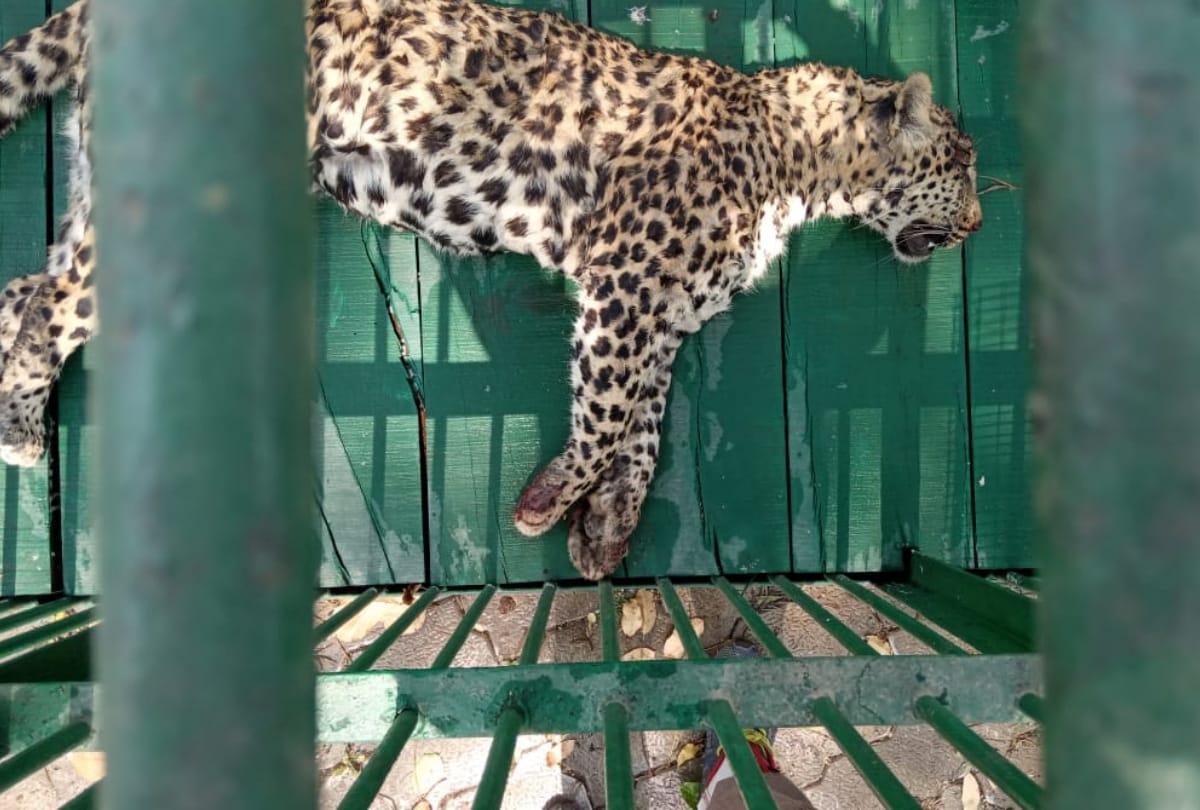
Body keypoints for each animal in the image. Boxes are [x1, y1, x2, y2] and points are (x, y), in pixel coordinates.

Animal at [0, 0, 982, 580]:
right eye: (962, 164)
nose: (977, 223)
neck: (798, 161)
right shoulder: (626, 285)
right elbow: (608, 415)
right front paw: (547, 503)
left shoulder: (659, 311)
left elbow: (645, 423)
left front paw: (607, 527)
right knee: (46, 305)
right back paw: (23, 441)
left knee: (21, 288)